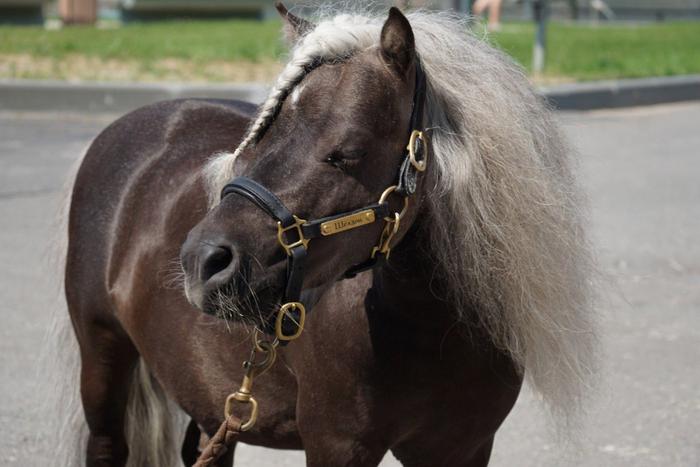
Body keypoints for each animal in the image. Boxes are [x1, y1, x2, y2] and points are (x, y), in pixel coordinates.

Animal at [53, 4, 598, 466]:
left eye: (347, 152)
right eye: (259, 138)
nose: (202, 261)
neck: (430, 328)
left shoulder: (463, 447)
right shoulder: (337, 445)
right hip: (102, 361)